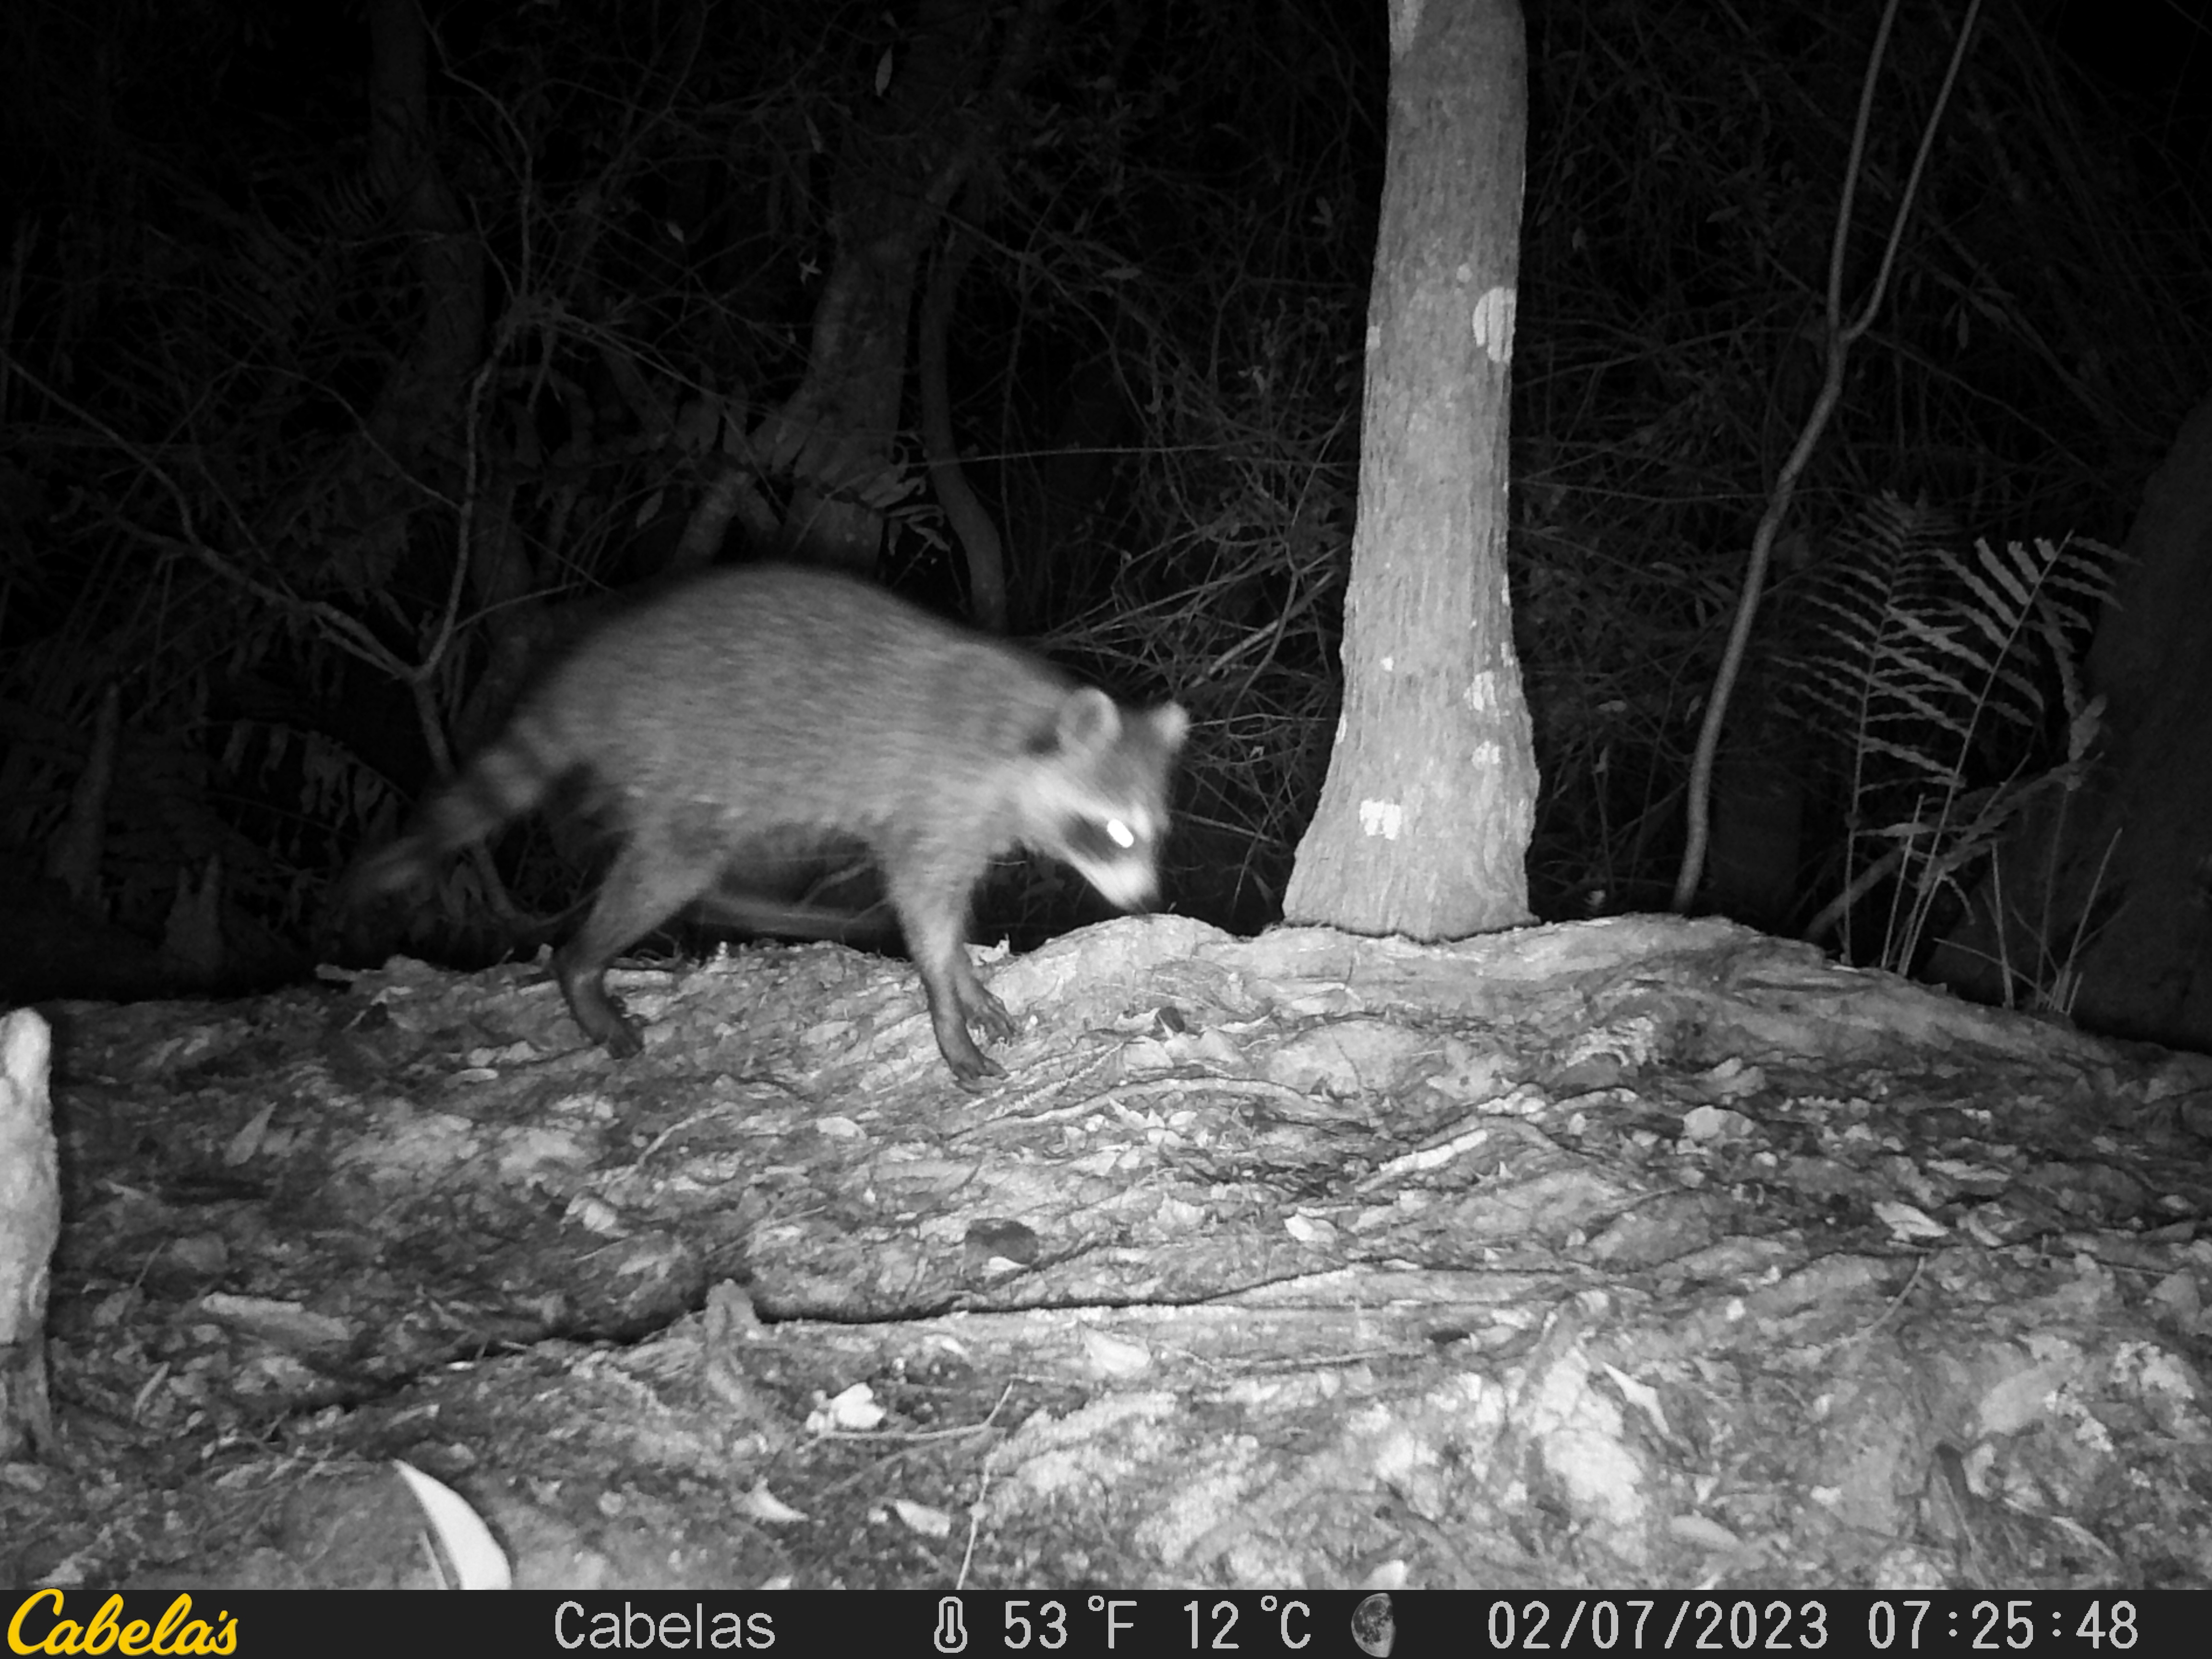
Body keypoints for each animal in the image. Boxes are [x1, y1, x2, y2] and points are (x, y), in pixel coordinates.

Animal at [352, 565, 1187, 1081]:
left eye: (1153, 834)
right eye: (1114, 833)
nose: (1149, 903)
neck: (1025, 734)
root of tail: (593, 677)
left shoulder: (968, 824)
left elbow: (946, 917)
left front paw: (965, 982)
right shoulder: (936, 803)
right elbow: (921, 908)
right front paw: (949, 1011)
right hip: (695, 749)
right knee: (678, 868)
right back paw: (584, 969)